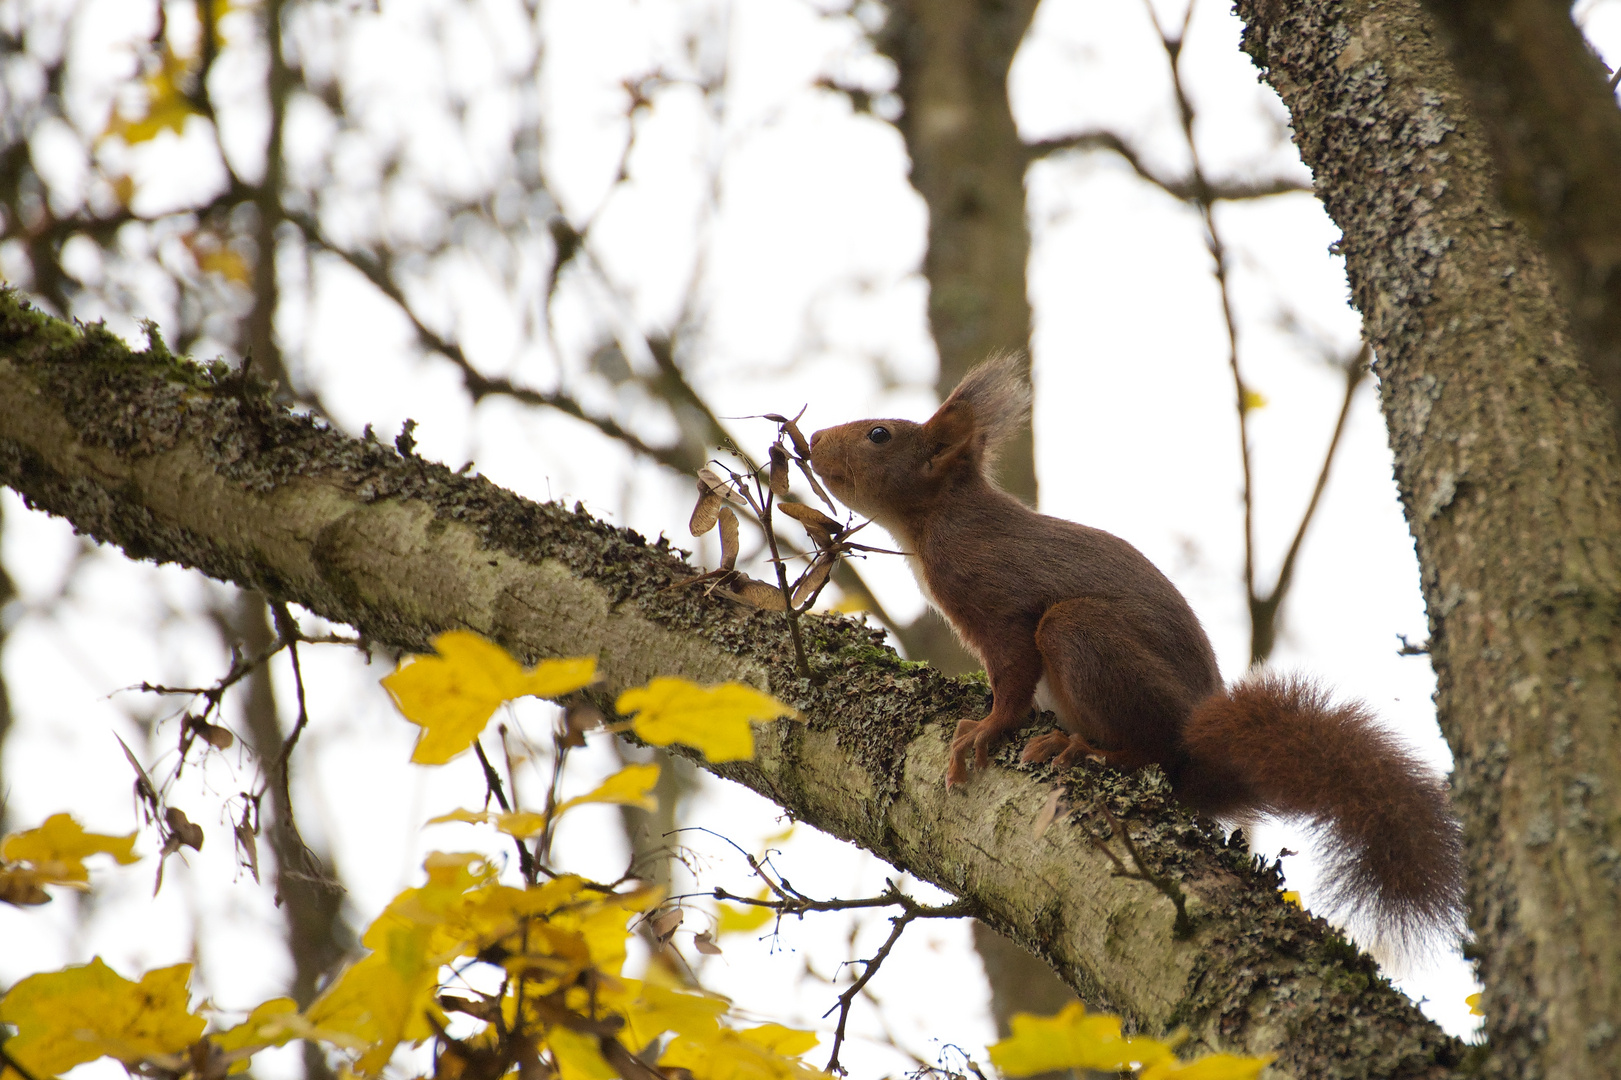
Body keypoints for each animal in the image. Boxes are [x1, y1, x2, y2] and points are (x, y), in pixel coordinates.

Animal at [816, 355, 1465, 953]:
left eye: (879, 434)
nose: (814, 440)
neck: (935, 522)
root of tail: (1194, 755)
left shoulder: (1000, 602)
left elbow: (1013, 677)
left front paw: (983, 729)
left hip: (1080, 634)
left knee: (1144, 745)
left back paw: (1086, 750)